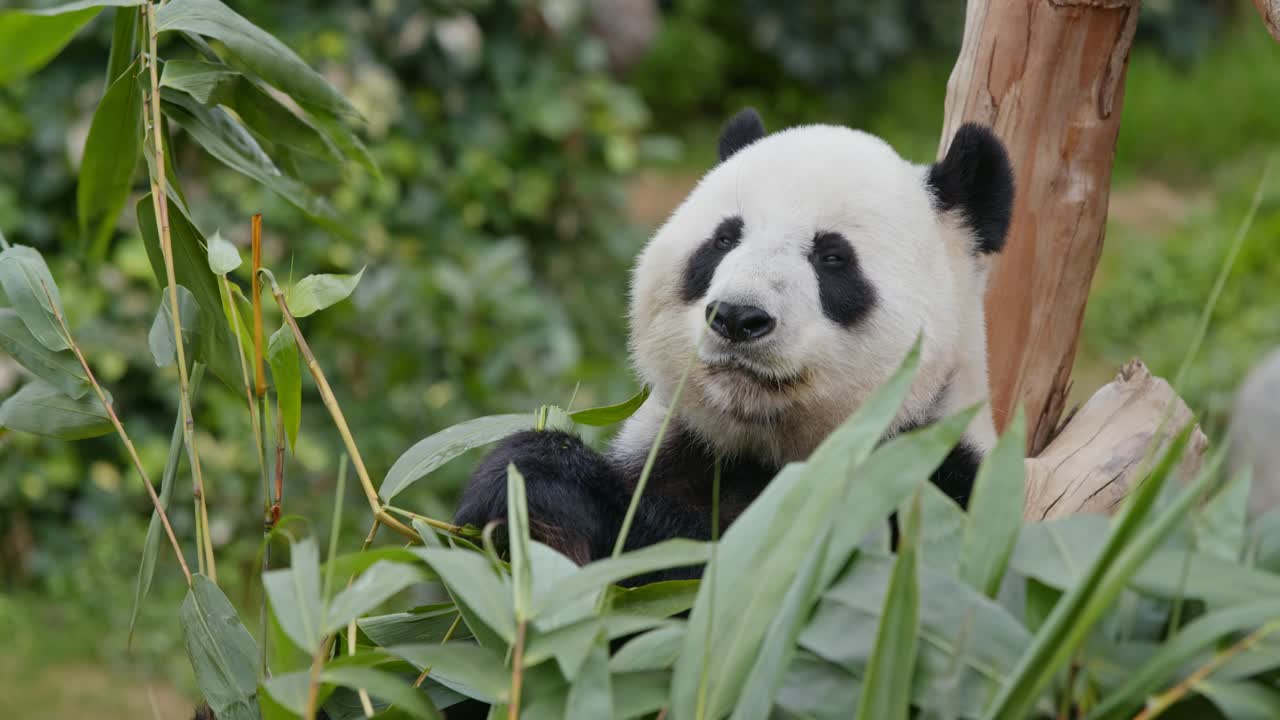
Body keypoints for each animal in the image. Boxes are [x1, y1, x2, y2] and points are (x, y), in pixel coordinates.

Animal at [455, 107, 1015, 579]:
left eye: (832, 257)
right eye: (724, 239)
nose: (738, 318)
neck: (761, 448)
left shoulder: (927, 489)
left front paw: (549, 486)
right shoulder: (672, 451)